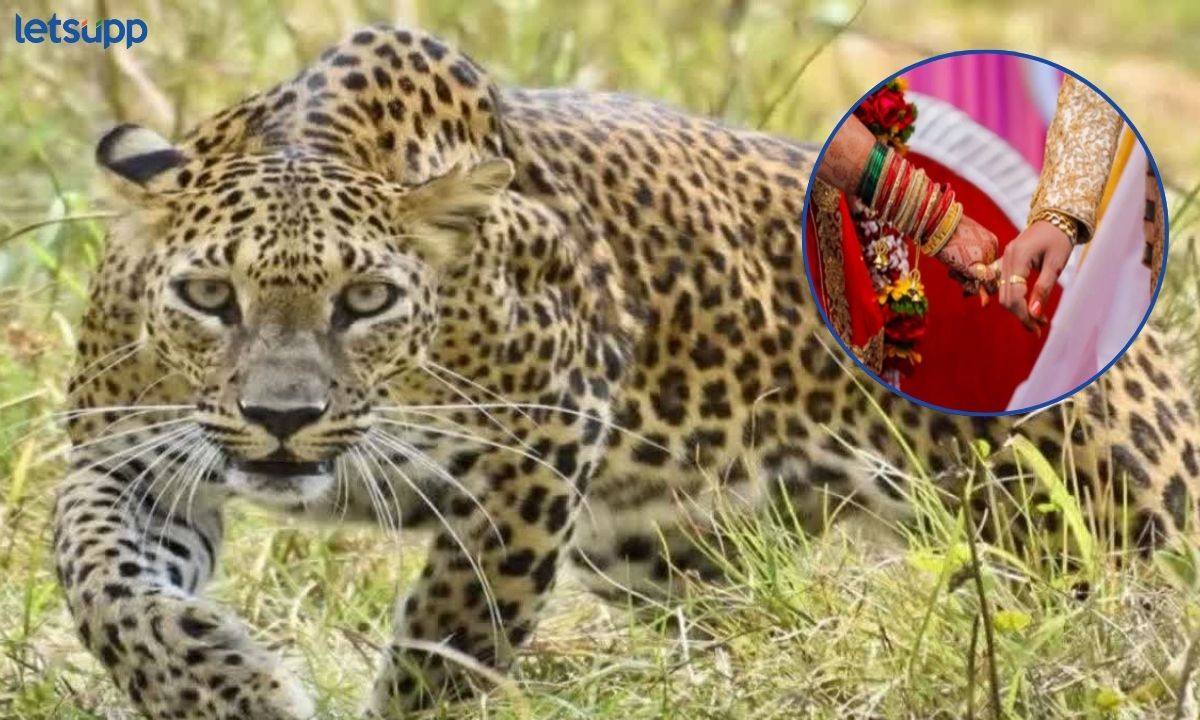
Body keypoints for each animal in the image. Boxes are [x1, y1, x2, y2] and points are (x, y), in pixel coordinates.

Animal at [52, 24, 1194, 719]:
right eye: (209, 297)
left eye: (366, 300)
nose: (282, 419)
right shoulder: (123, 455)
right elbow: (104, 583)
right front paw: (226, 688)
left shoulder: (544, 437)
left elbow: (454, 632)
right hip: (662, 547)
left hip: (1118, 513)